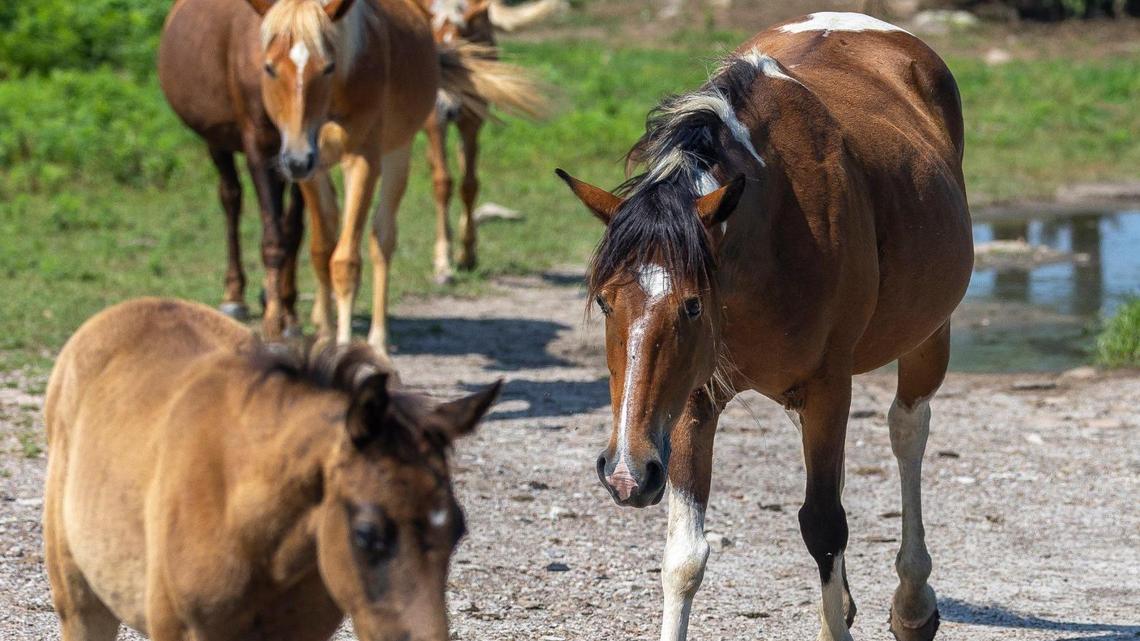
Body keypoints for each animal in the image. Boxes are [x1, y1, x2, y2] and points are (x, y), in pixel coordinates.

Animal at [557, 12, 972, 641]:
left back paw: (912, 601)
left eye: (692, 305)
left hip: (928, 334)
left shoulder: (828, 385)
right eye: (606, 303)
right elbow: (685, 556)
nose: (626, 473)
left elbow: (823, 525)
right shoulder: (691, 401)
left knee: (907, 430)